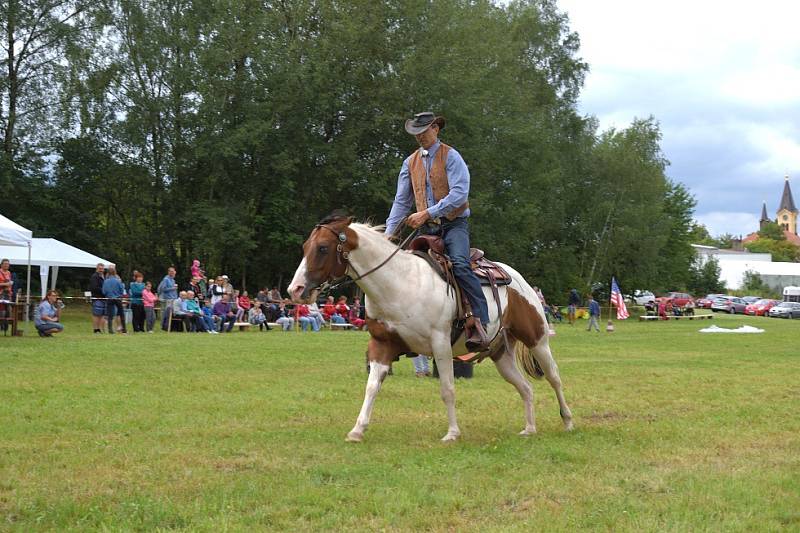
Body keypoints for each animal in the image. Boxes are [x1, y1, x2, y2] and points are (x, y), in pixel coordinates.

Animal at [290, 214, 576, 442]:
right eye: (306, 247)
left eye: (323, 248)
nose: (295, 290)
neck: (399, 284)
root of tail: (517, 278)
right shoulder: (382, 345)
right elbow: (371, 387)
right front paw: (357, 430)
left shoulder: (440, 345)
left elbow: (447, 389)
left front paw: (452, 433)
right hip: (500, 354)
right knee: (526, 388)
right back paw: (529, 429)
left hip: (538, 340)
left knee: (554, 377)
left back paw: (568, 421)